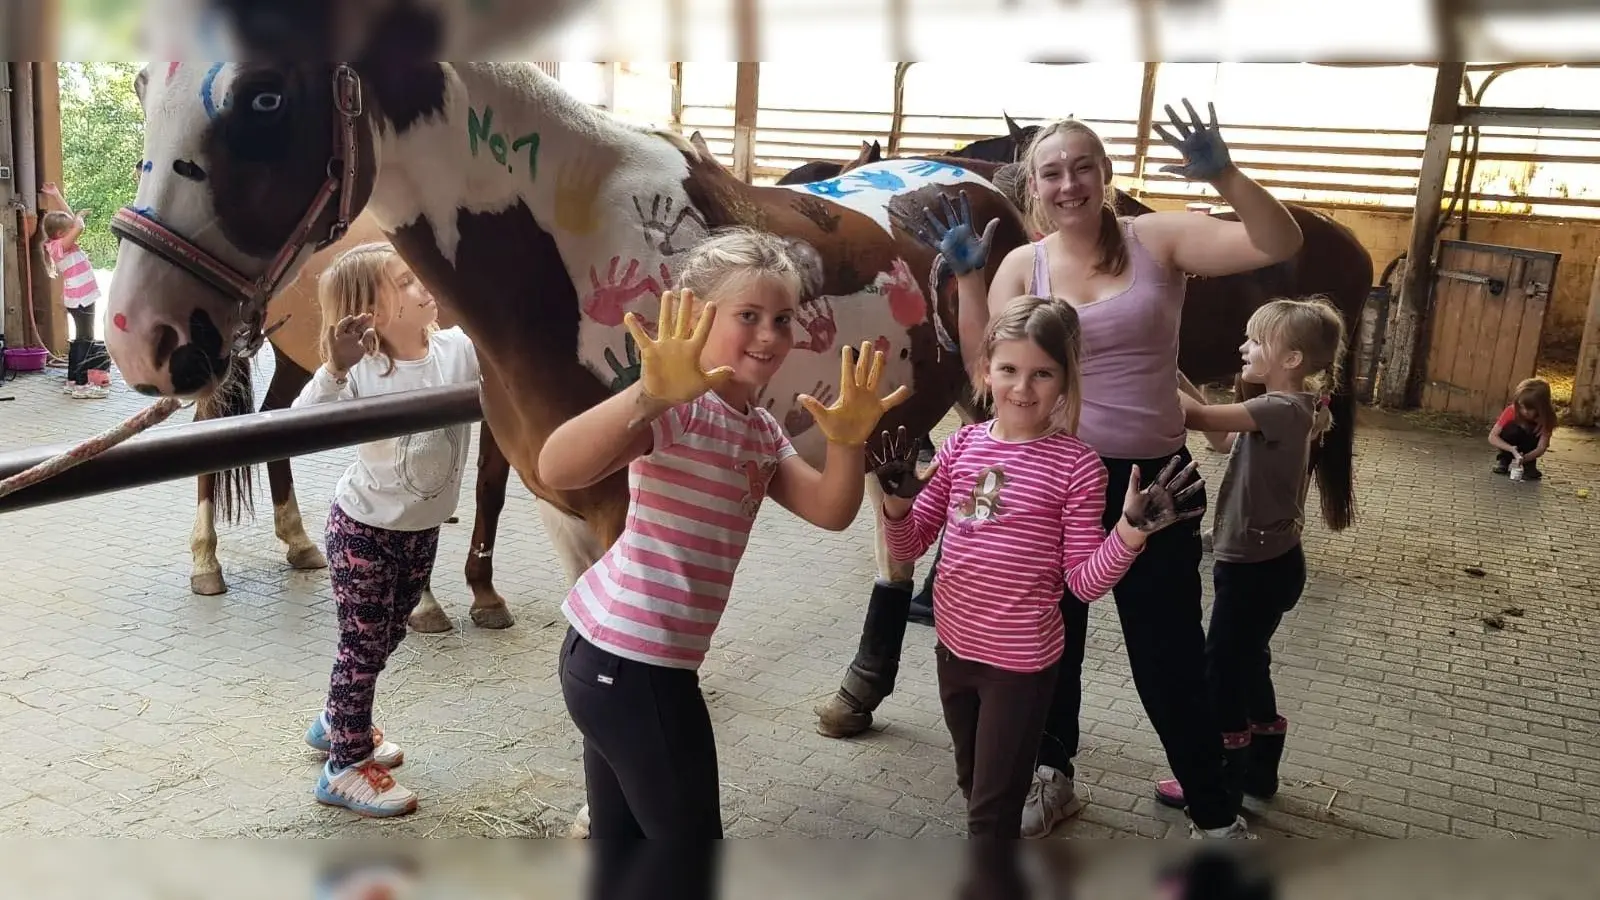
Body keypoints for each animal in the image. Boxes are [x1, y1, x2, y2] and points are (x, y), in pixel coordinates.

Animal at [100, 52, 1024, 807]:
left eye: (265, 96)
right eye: (144, 84)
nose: (143, 334)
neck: (563, 254)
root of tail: (976, 185)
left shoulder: (620, 507)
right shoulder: (560, 500)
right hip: (890, 432)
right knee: (895, 543)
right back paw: (857, 695)